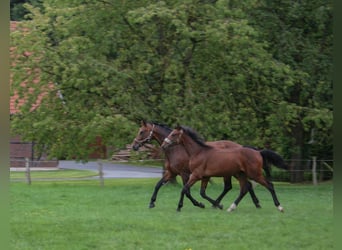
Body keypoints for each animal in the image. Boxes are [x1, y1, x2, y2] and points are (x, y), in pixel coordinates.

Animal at [131, 120, 260, 209]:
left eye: (141, 132)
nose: (134, 146)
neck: (176, 149)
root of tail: (241, 146)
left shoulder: (185, 174)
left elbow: (187, 191)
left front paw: (198, 204)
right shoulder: (172, 173)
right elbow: (158, 185)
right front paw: (151, 203)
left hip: (232, 173)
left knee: (240, 185)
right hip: (232, 173)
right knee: (242, 185)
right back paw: (254, 203)